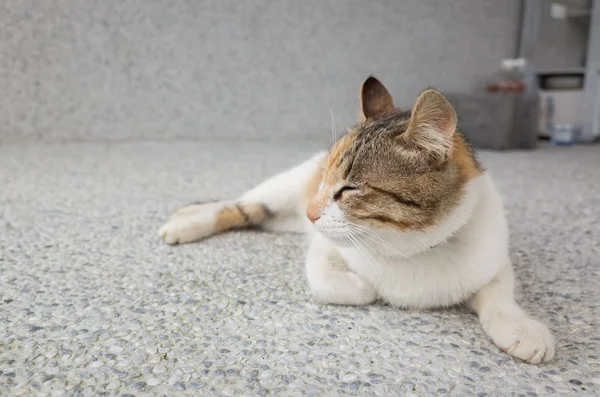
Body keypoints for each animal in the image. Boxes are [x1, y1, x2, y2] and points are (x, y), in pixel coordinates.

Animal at [158, 76, 552, 362]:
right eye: (325, 179)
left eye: (348, 189)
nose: (311, 212)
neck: (411, 250)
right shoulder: (324, 244)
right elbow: (328, 280)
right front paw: (364, 287)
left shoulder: (494, 257)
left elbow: (500, 296)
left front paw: (522, 329)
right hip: (280, 191)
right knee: (236, 205)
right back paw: (184, 221)